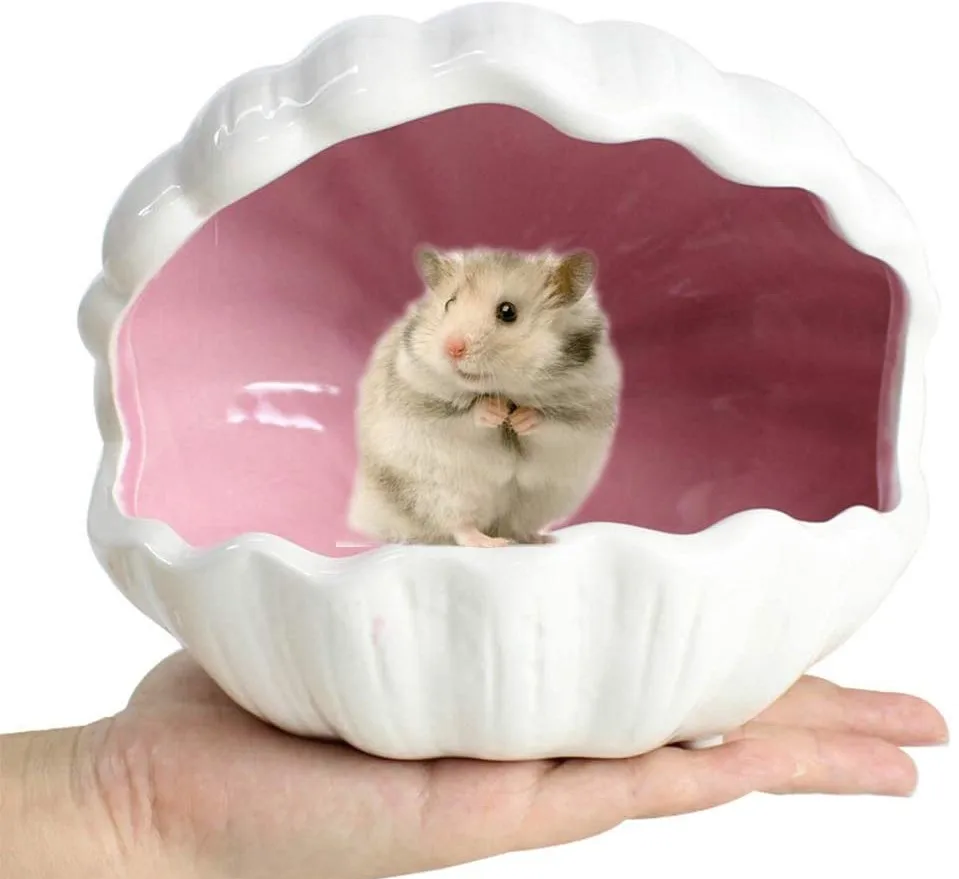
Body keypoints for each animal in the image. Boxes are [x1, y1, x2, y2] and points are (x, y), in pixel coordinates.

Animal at [347, 246, 622, 548]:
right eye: (449, 303)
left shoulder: (583, 411)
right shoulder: (424, 399)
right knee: (459, 527)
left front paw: (520, 418)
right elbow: (466, 416)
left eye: (507, 311)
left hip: (538, 501)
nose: (452, 348)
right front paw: (495, 412)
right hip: (439, 493)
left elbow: (549, 422)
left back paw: (538, 539)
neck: (505, 389)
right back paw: (491, 542)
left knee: (515, 525)